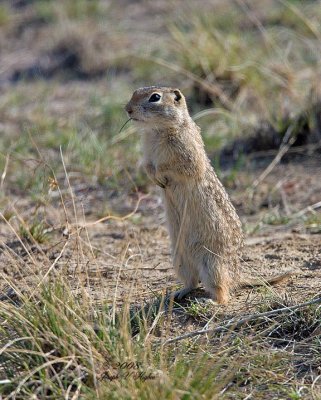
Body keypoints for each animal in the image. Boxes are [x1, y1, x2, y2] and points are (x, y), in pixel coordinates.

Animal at [124, 84, 292, 304]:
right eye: (135, 92)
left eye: (155, 97)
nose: (128, 109)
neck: (157, 131)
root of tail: (238, 276)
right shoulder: (147, 156)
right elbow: (148, 167)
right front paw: (157, 180)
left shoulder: (186, 153)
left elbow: (178, 167)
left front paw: (162, 177)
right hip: (180, 260)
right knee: (193, 282)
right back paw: (178, 294)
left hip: (212, 264)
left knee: (222, 291)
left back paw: (211, 301)